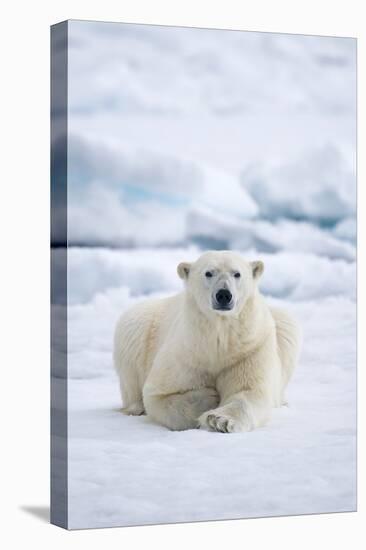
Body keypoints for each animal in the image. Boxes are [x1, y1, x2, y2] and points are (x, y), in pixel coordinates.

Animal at [113, 251, 300, 436]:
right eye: (209, 273)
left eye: (237, 273)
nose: (224, 294)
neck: (218, 339)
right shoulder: (186, 352)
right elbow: (158, 394)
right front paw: (208, 398)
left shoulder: (249, 349)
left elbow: (249, 391)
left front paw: (219, 420)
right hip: (139, 322)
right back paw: (135, 408)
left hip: (282, 324)